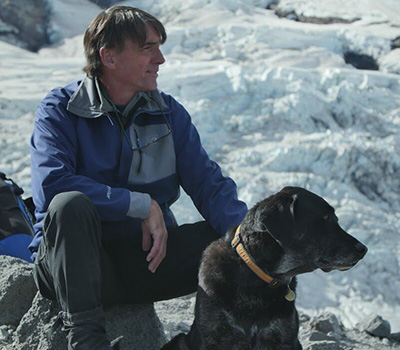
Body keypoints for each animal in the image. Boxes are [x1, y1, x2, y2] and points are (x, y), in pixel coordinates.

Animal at [161, 187, 368, 348]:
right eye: (325, 217)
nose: (363, 249)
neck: (258, 279)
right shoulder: (215, 339)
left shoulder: (285, 339)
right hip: (180, 341)